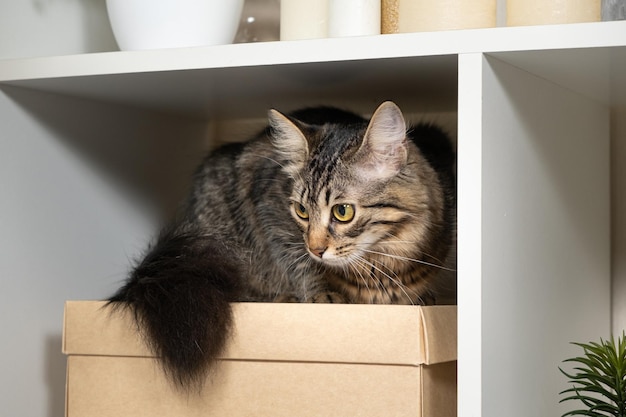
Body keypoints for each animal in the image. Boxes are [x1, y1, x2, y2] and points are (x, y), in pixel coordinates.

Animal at [108, 102, 454, 388]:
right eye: (301, 211)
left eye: (342, 212)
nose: (316, 249)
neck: (382, 261)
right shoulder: (270, 206)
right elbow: (297, 261)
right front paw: (323, 294)